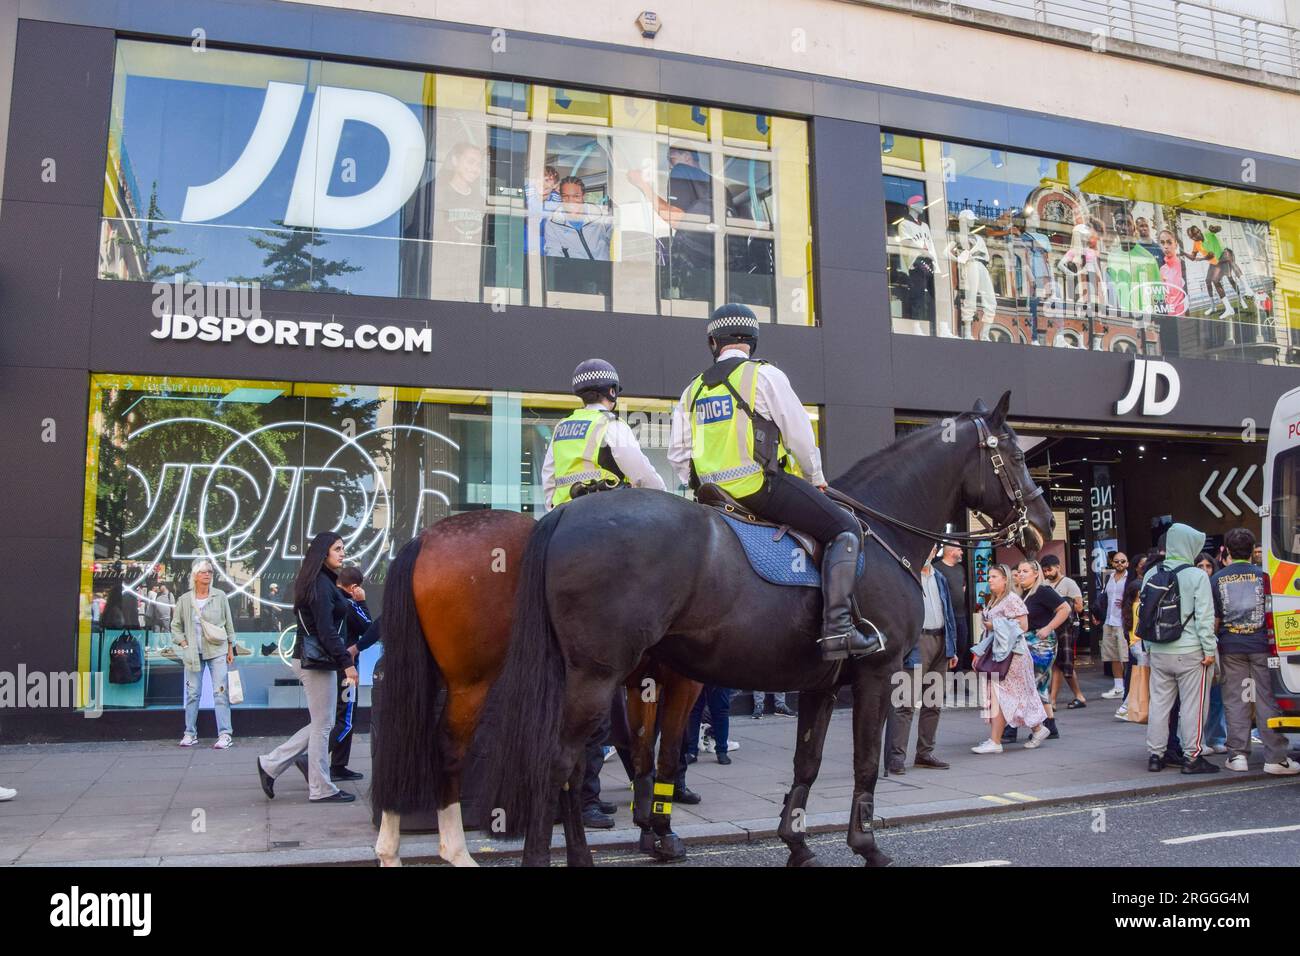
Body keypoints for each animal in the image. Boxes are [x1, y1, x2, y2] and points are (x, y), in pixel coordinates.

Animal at [366, 515, 702, 868]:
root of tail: (424, 540)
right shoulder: (682, 682)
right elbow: (667, 754)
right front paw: (663, 832)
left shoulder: (644, 682)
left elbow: (643, 753)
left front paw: (648, 829)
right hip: (471, 681)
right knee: (448, 750)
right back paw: (457, 851)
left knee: (402, 743)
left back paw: (389, 850)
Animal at [483, 392, 1050, 868]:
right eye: (1017, 456)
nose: (1043, 524)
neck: (883, 532)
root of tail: (565, 515)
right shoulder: (877, 672)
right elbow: (865, 762)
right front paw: (867, 846)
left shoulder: (821, 685)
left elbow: (807, 762)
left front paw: (796, 843)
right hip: (598, 675)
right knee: (560, 763)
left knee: (579, 764)